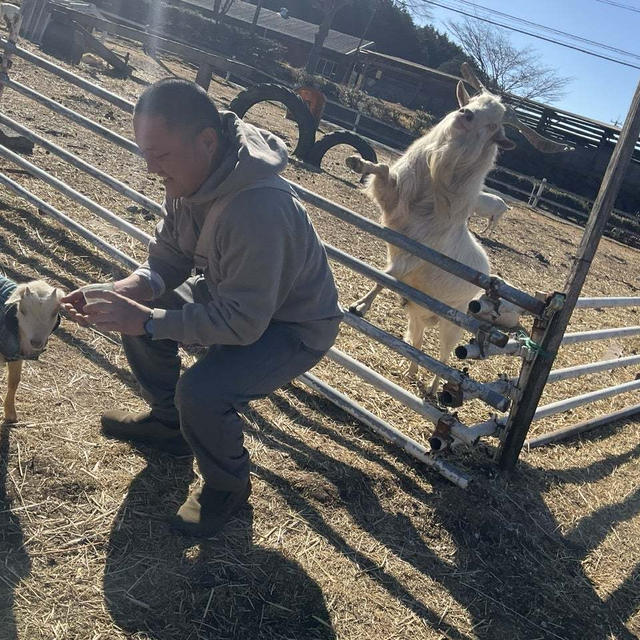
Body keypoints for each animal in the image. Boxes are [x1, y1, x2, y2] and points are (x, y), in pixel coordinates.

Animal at [1, 276, 63, 422]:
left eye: (55, 312)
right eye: (23, 310)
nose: (36, 342)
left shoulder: (16, 354)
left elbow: (14, 381)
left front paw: (10, 414)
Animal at [348, 65, 572, 396]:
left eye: (494, 124)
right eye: (474, 101)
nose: (465, 114)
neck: (431, 195)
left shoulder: (417, 253)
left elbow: (386, 275)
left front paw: (360, 307)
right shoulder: (393, 206)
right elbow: (384, 172)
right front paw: (357, 161)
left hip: (452, 326)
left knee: (443, 358)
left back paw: (431, 389)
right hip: (417, 312)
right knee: (417, 345)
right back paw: (409, 372)